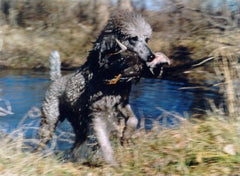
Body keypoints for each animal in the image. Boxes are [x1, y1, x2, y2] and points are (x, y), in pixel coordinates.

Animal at [36, 10, 170, 166]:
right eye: (133, 38)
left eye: (147, 39)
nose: (151, 57)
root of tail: (56, 79)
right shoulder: (97, 114)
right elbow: (104, 142)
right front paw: (111, 162)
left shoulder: (121, 104)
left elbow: (133, 120)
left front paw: (125, 137)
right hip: (49, 122)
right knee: (41, 143)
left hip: (79, 125)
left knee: (76, 146)